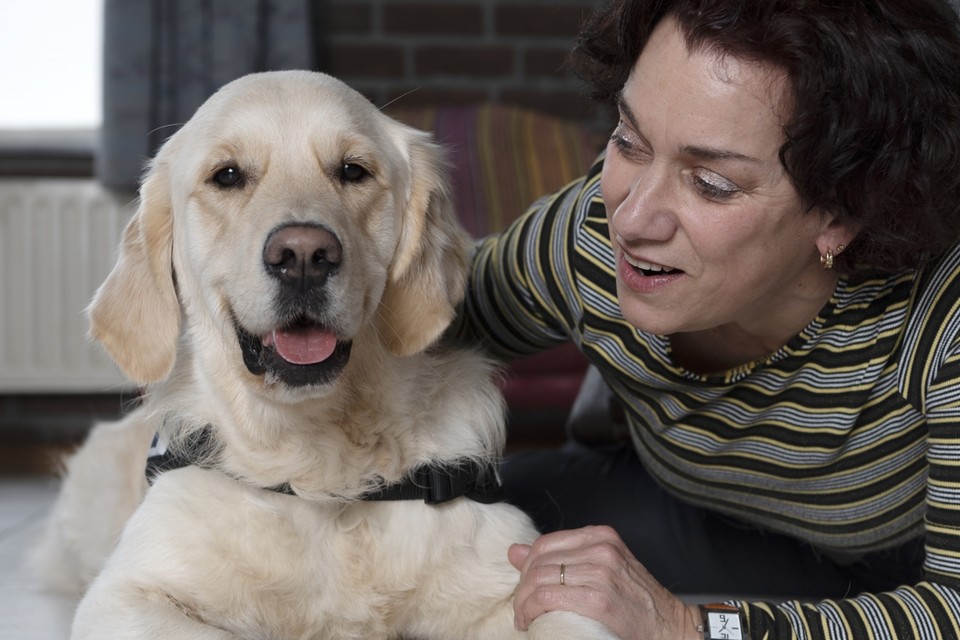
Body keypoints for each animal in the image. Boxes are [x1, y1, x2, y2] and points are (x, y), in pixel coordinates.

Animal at [37, 71, 616, 640]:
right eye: (227, 176)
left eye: (353, 170)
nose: (303, 256)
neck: (320, 468)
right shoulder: (125, 596)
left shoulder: (519, 578)